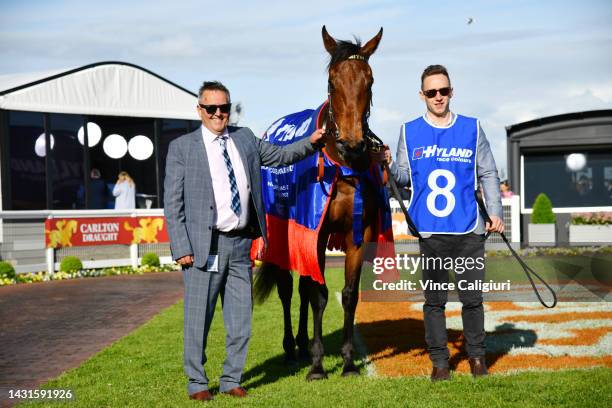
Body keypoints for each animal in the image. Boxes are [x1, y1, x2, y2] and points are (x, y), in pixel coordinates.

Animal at [253, 25, 388, 380]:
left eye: (370, 80)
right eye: (332, 81)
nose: (353, 142)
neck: (340, 165)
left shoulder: (359, 232)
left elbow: (348, 295)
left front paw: (348, 362)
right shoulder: (314, 231)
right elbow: (319, 294)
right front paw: (316, 366)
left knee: (301, 286)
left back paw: (301, 344)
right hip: (283, 233)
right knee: (287, 287)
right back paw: (291, 348)